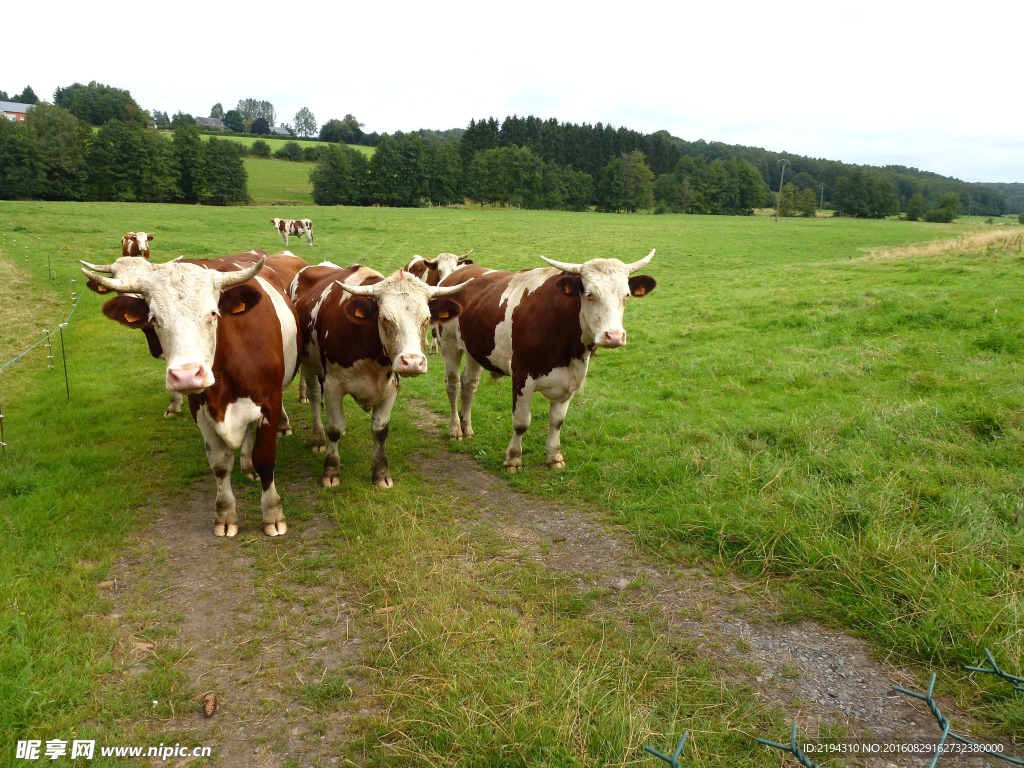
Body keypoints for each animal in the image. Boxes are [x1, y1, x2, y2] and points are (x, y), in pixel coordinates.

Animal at [82, 256, 299, 536]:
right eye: (154, 318)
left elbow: (266, 461)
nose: (186, 376)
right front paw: (225, 515)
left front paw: (272, 514)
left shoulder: (269, 403)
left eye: (213, 313)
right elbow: (219, 464)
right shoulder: (200, 409)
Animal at [288, 264, 471, 489]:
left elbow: (380, 430)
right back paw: (318, 439)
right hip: (308, 366)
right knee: (314, 397)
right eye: (385, 318)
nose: (412, 362)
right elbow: (334, 427)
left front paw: (381, 473)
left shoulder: (390, 388)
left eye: (427, 319)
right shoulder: (333, 386)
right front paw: (331, 471)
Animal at [432, 249, 655, 473]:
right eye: (590, 294)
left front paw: (554, 457)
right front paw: (513, 459)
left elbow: (557, 421)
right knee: (453, 386)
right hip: (449, 345)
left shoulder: (570, 379)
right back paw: (455, 429)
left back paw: (467, 427)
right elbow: (521, 422)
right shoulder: (522, 376)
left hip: (475, 351)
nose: (615, 336)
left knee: (469, 385)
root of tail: (455, 273)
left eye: (626, 295)